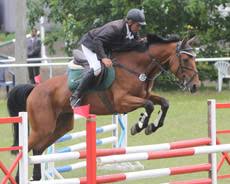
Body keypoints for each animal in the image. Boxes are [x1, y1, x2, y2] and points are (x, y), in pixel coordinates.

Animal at [7, 34, 199, 181]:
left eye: (194, 58)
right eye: (185, 59)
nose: (195, 86)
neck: (136, 68)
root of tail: (35, 89)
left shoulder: (145, 95)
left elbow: (163, 103)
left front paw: (151, 126)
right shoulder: (122, 101)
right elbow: (150, 106)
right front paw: (139, 125)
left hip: (61, 126)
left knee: (38, 149)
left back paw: (36, 177)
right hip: (43, 127)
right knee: (27, 147)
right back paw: (18, 178)